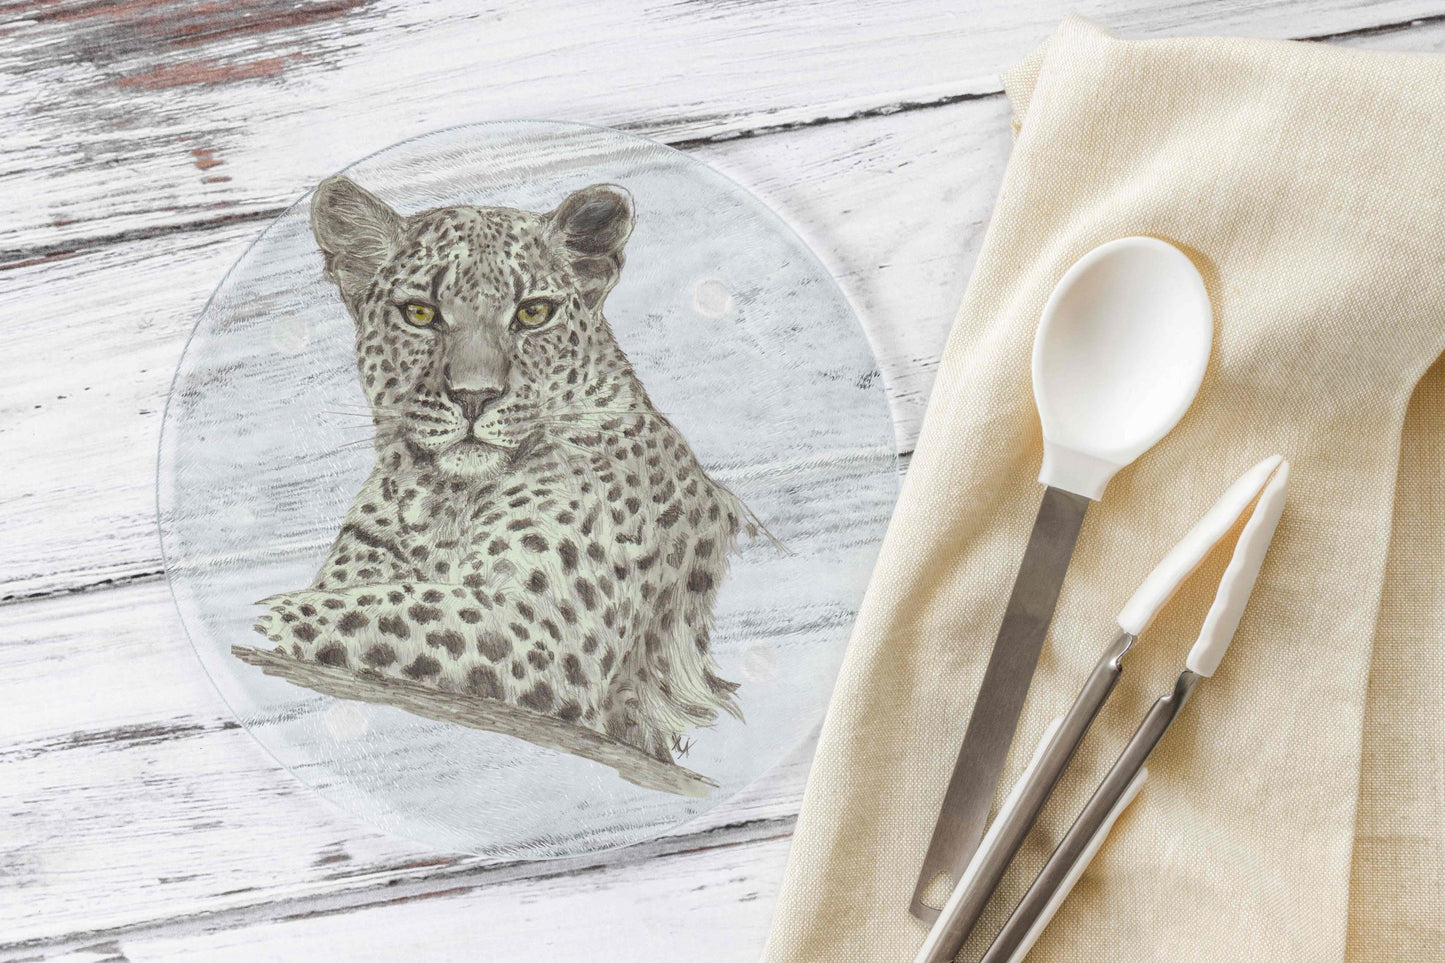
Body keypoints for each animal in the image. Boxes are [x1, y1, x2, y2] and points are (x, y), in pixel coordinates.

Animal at [251, 175, 756, 765]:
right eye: (420, 314)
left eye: (533, 313)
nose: (475, 396)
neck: (444, 503)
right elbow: (378, 594)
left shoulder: (551, 631)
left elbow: (397, 609)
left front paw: (269, 617)